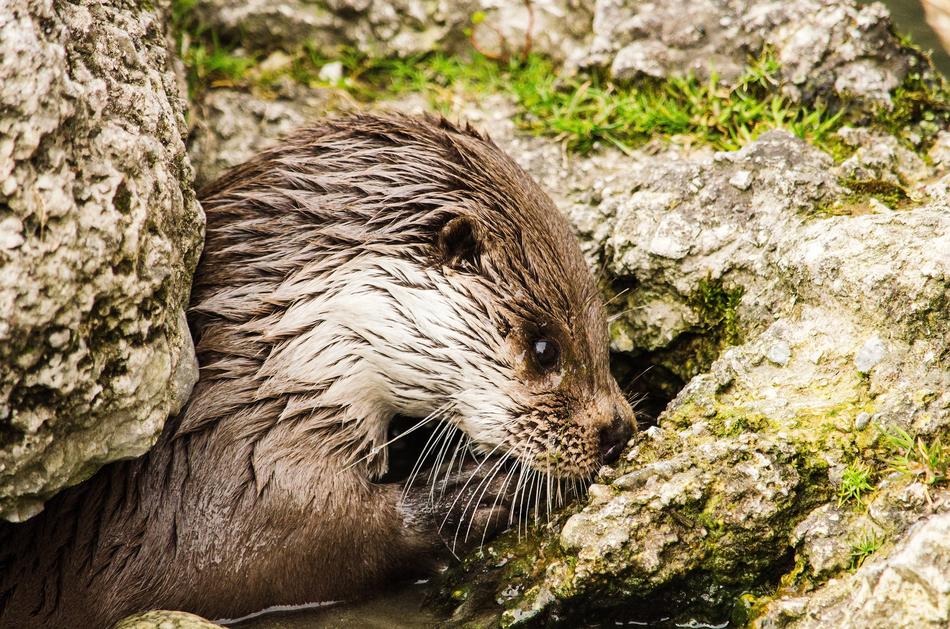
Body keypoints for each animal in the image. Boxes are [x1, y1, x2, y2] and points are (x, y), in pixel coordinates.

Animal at [0, 114, 634, 627]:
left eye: (601, 334)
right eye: (545, 348)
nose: (618, 430)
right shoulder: (208, 499)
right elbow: (296, 550)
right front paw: (463, 497)